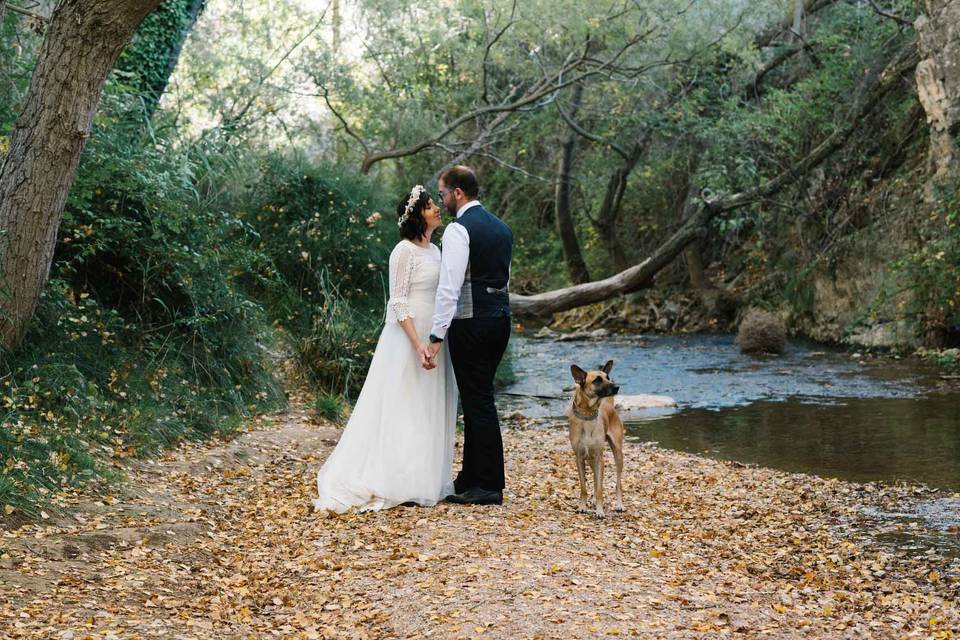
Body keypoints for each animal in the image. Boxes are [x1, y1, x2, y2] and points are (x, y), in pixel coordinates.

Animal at [568, 360, 628, 520]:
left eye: (608, 377)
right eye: (597, 380)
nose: (617, 387)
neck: (587, 415)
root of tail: (609, 405)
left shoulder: (598, 457)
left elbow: (600, 488)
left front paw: (599, 511)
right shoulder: (579, 458)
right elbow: (584, 487)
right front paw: (582, 507)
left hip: (617, 455)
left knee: (617, 483)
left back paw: (619, 504)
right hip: (591, 460)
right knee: (596, 481)